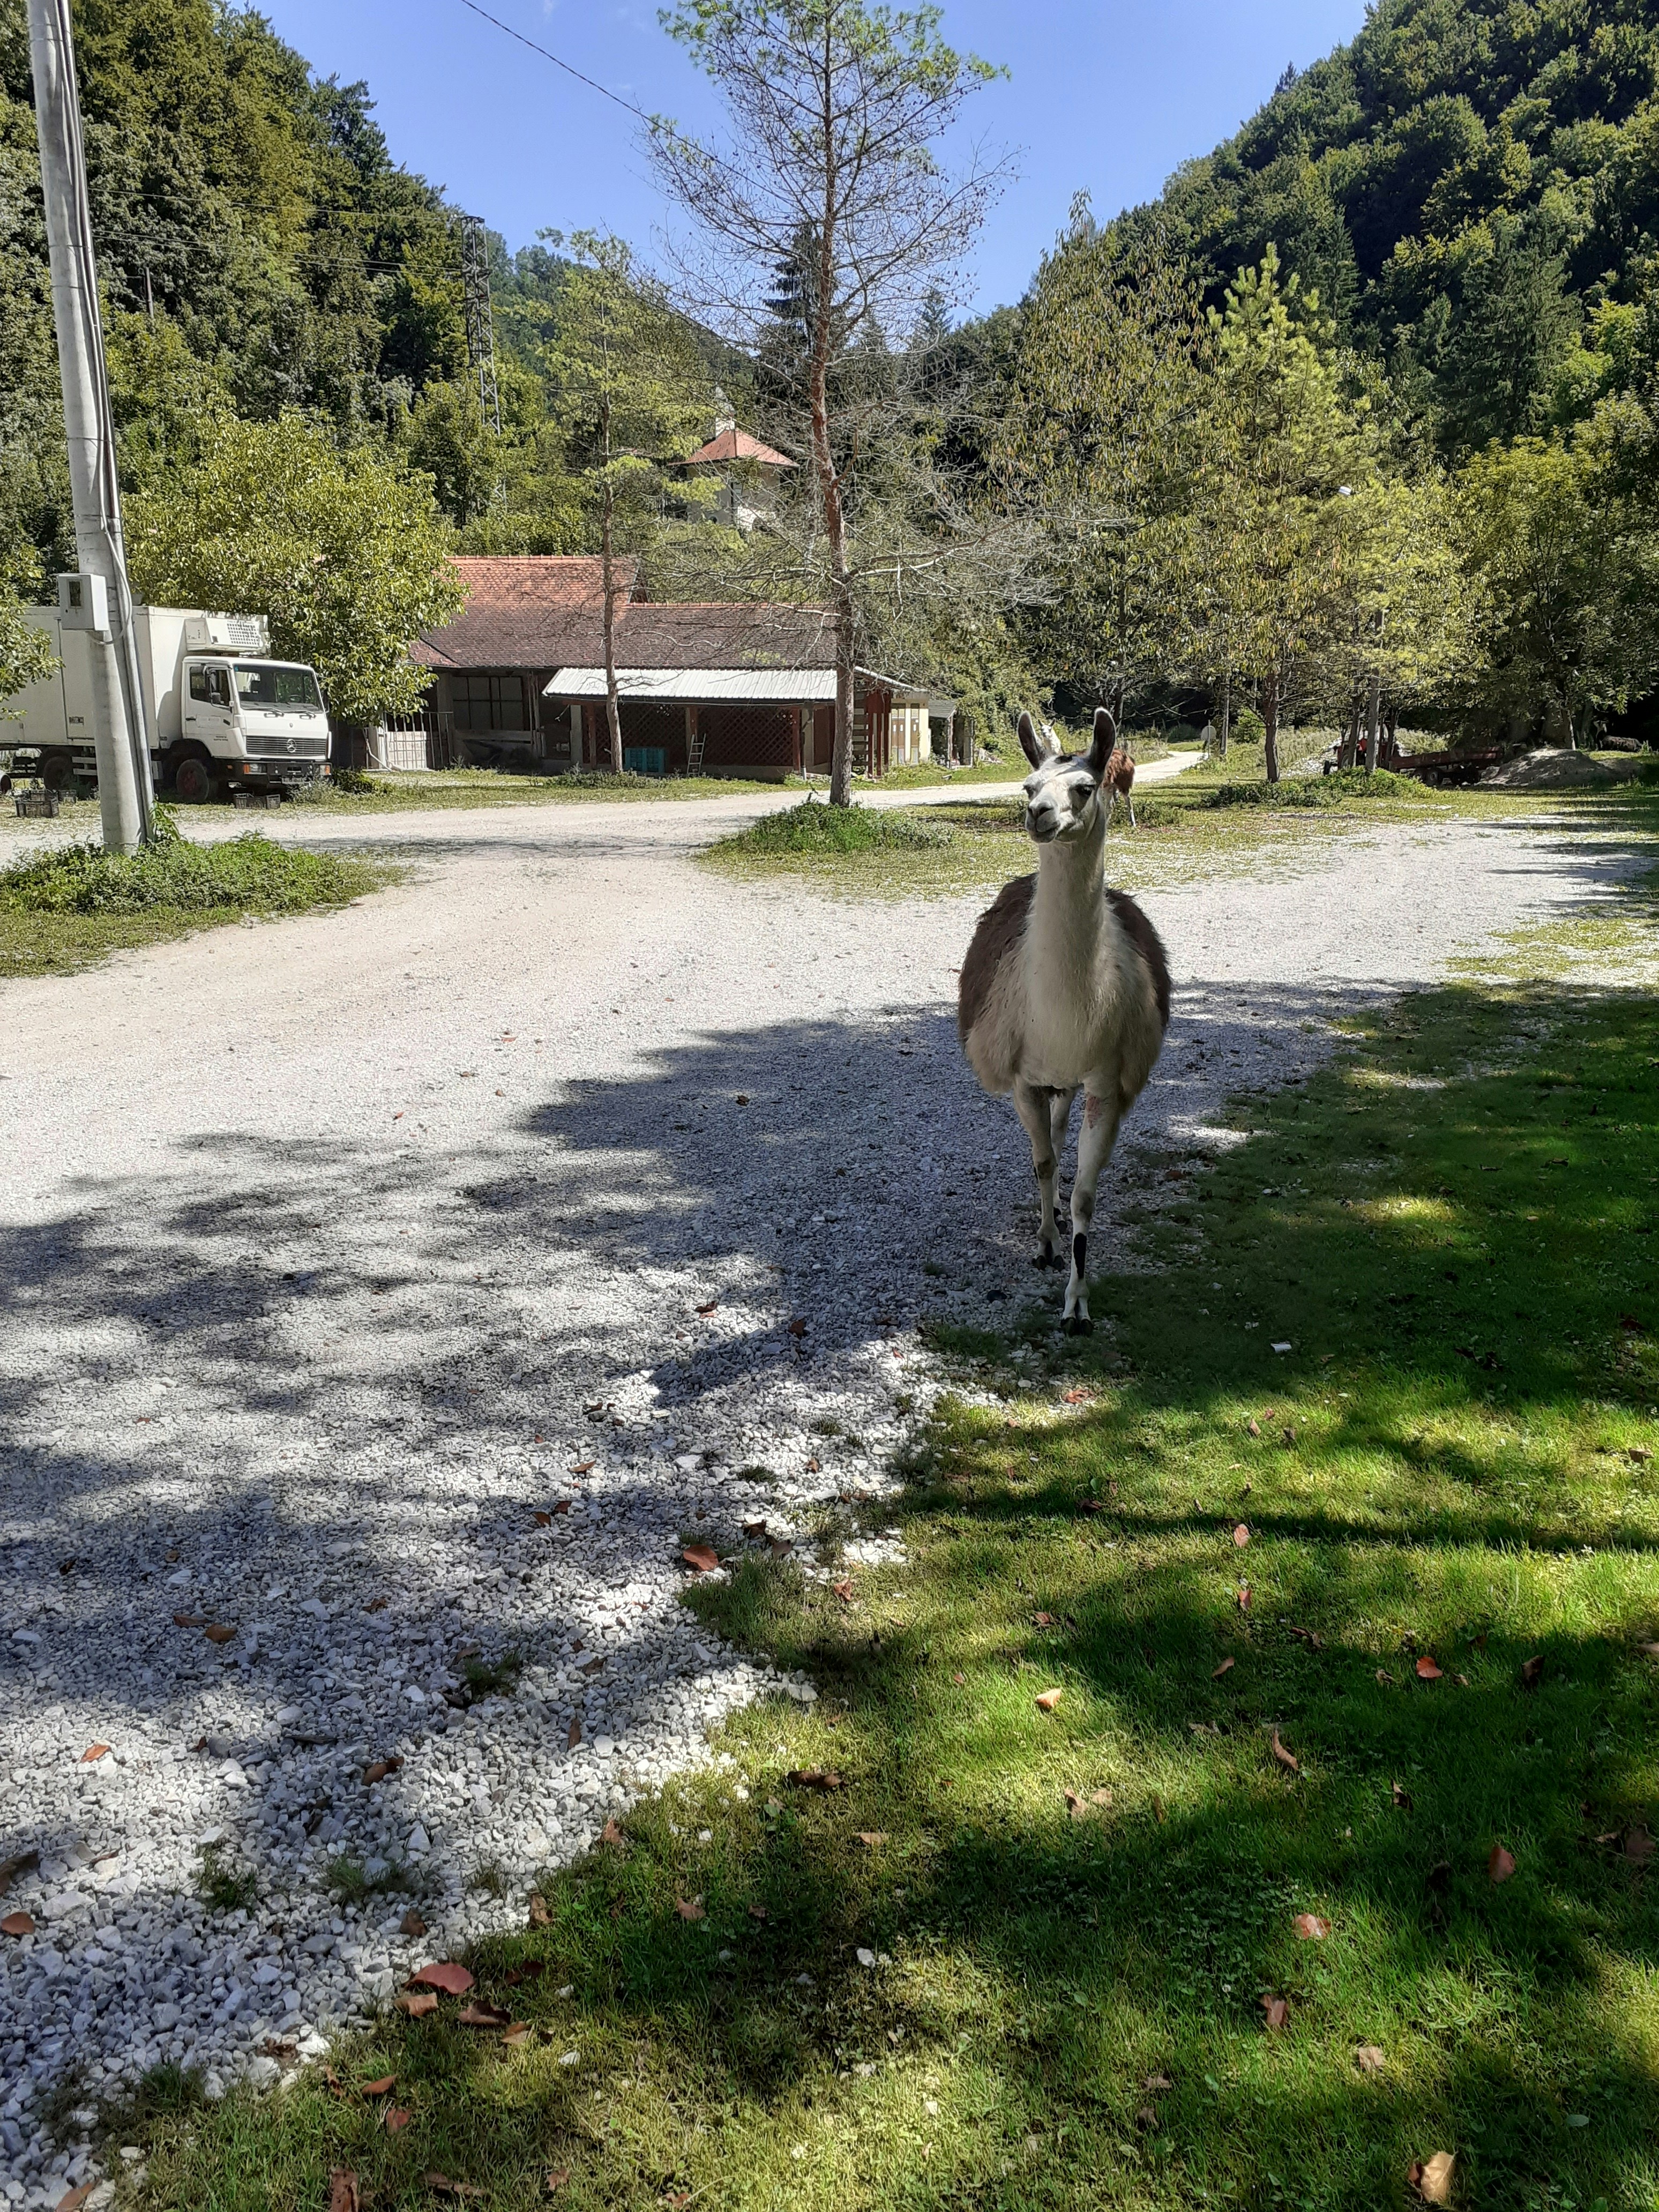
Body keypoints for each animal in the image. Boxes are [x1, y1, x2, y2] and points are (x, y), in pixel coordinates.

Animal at [957, 709, 1170, 1332]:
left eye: (1084, 787)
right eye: (1028, 787)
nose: (1039, 816)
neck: (1065, 1015)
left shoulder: (1105, 1081)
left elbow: (1085, 1196)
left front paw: (1078, 1304)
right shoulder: (1023, 1079)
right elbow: (1044, 1163)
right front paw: (1047, 1245)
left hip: (1072, 1082)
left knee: (1059, 1131)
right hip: (1046, 1079)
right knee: (1047, 1149)